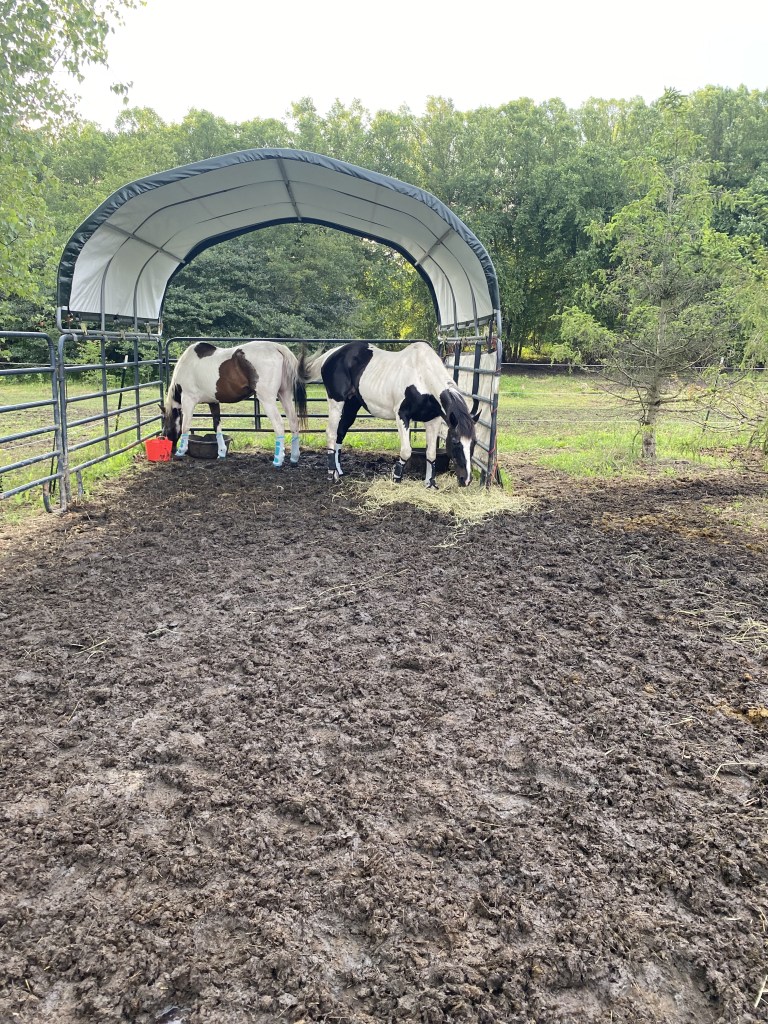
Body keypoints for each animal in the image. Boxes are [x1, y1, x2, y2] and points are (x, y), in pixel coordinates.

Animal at [160, 341, 308, 465]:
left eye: (165, 425)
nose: (171, 450)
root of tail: (277, 347)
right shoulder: (213, 402)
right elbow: (217, 426)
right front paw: (221, 452)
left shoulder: (188, 400)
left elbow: (185, 426)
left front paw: (181, 451)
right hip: (285, 395)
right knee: (294, 422)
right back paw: (294, 458)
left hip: (267, 399)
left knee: (279, 425)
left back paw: (278, 460)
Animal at [297, 341, 477, 487]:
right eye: (455, 442)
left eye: (474, 443)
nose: (466, 480)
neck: (422, 376)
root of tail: (332, 354)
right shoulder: (402, 416)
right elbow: (406, 450)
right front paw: (396, 477)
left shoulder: (433, 420)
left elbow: (431, 453)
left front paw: (430, 483)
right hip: (336, 402)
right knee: (331, 433)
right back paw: (331, 474)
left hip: (350, 406)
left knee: (340, 433)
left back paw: (339, 471)